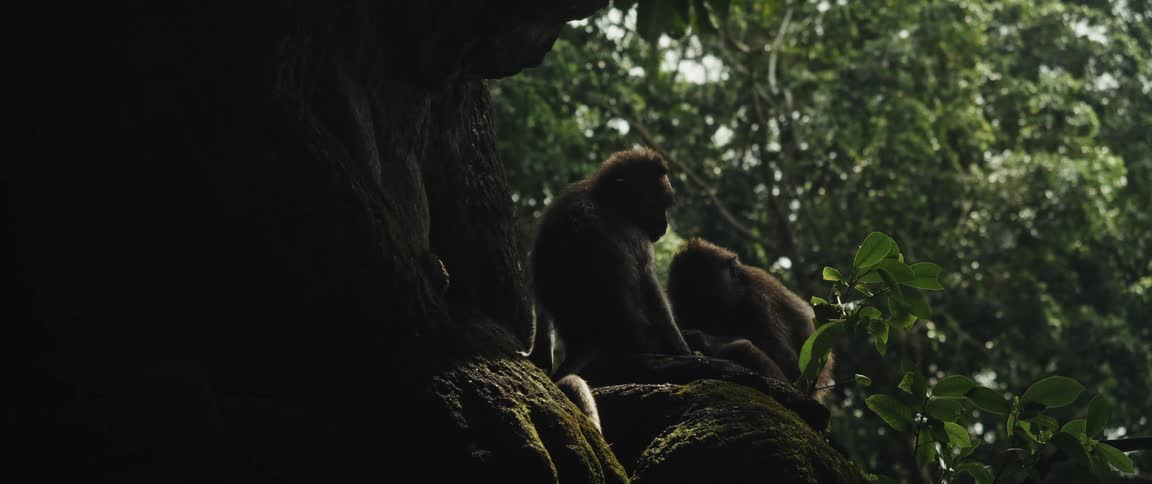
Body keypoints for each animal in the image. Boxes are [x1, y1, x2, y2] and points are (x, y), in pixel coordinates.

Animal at [530, 148, 691, 378]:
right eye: (660, 204)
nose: (665, 224)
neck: (605, 199)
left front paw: (540, 355)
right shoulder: (636, 235)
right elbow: (649, 284)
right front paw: (681, 348)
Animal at [667, 238, 834, 400]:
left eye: (710, 301)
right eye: (691, 310)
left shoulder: (756, 300)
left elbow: (792, 366)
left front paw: (703, 339)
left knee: (743, 348)